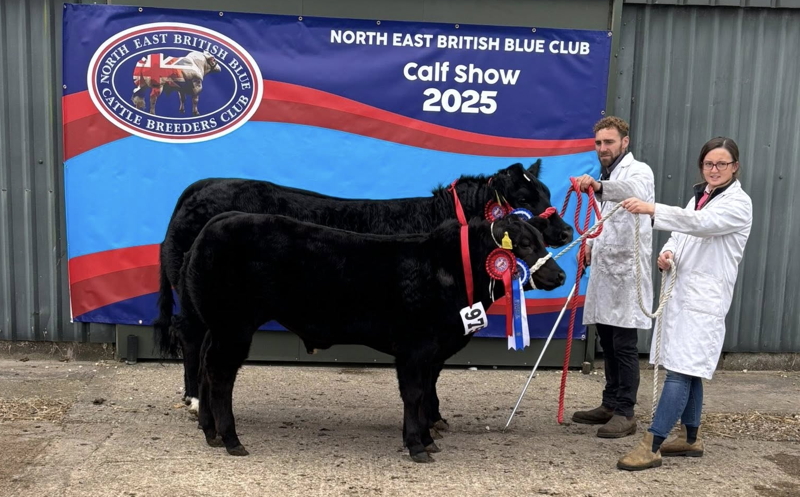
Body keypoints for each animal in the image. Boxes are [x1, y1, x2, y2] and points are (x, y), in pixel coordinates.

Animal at [154, 161, 574, 434]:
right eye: (526, 199)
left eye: (546, 192)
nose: (567, 230)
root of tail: (203, 185)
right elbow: (432, 372)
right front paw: (433, 419)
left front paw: (433, 418)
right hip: (201, 303)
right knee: (191, 339)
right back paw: (194, 401)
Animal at [178, 212, 566, 462]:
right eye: (525, 244)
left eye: (540, 240)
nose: (560, 275)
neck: (452, 271)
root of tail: (216, 223)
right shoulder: (415, 348)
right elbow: (414, 395)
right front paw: (417, 445)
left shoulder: (431, 351)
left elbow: (426, 394)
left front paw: (428, 438)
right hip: (234, 326)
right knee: (221, 376)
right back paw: (231, 439)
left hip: (219, 326)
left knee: (206, 367)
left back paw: (210, 432)